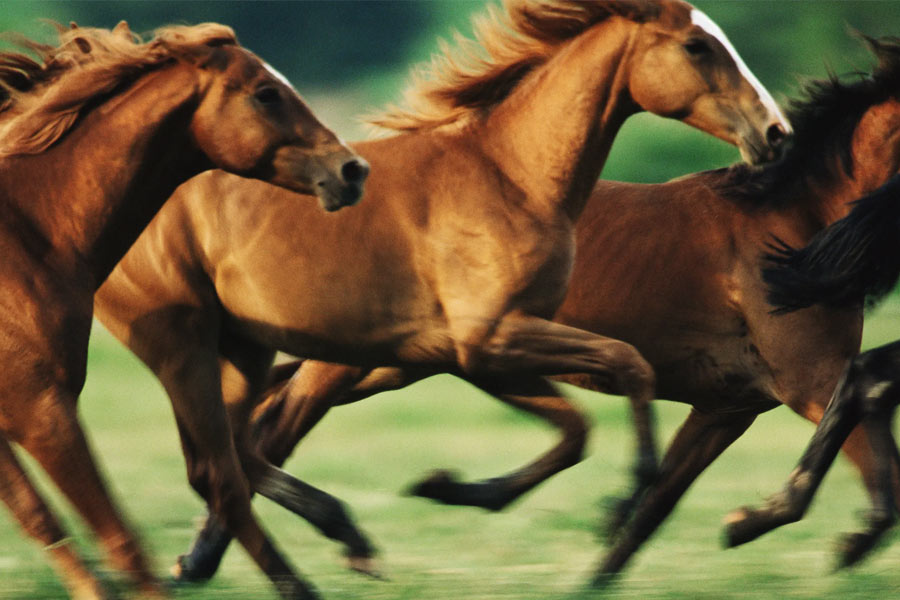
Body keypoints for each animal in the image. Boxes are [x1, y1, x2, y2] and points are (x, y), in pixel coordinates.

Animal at [0, 21, 365, 600]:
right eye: (266, 93)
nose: (351, 169)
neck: (25, 237)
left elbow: (43, 523)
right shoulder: (40, 410)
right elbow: (117, 538)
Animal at [90, 0, 789, 587]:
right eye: (698, 45)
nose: (775, 132)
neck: (513, 176)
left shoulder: (482, 353)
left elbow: (577, 427)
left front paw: (454, 488)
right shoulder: (489, 342)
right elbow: (627, 367)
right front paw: (621, 500)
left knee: (240, 446)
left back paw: (224, 553)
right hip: (223, 351)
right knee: (239, 449)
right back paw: (321, 537)